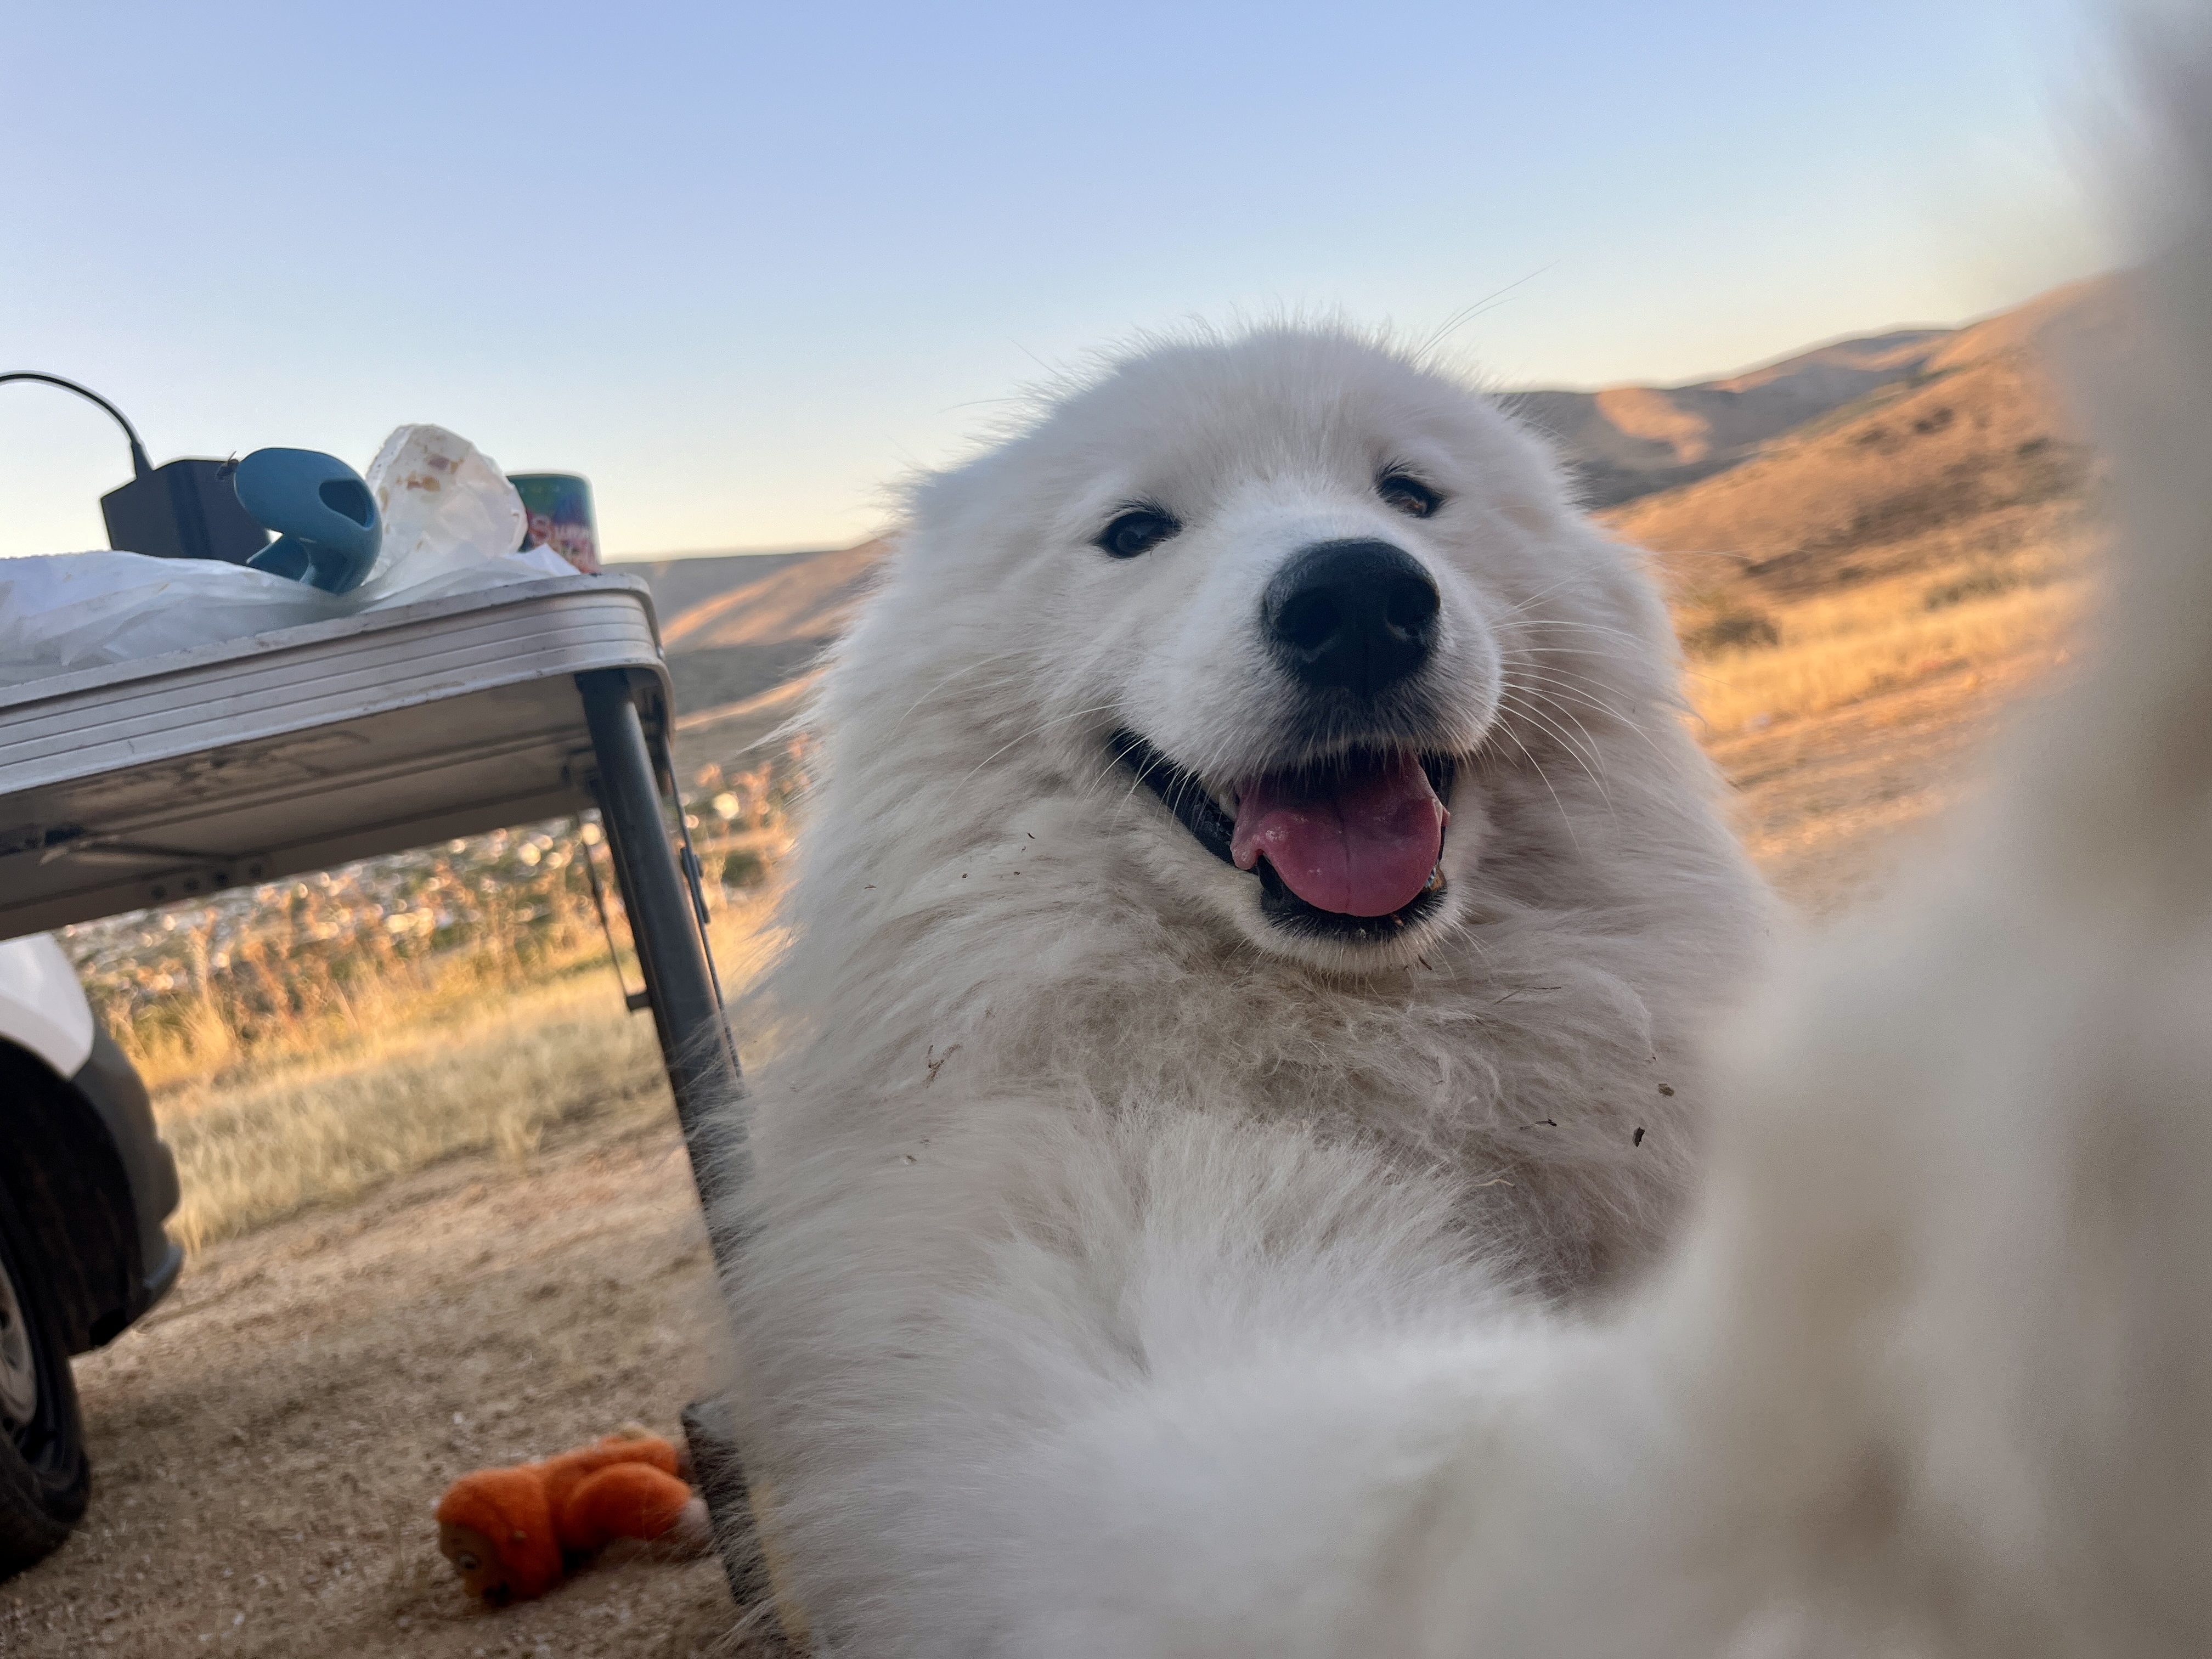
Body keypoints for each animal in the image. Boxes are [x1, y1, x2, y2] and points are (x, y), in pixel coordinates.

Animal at [722, 32, 2212, 1654]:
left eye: (1411, 493)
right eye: (1134, 531)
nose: (1359, 600)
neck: (1399, 1040)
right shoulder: (1109, 1307)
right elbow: (1519, 1501)